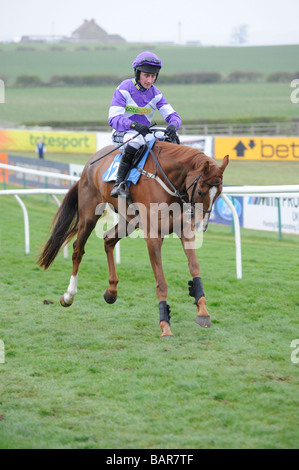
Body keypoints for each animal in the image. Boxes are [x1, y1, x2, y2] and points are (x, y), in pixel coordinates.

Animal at [38, 140, 230, 338]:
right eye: (200, 191)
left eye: (218, 193)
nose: (202, 225)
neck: (167, 182)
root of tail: (88, 166)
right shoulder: (153, 237)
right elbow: (161, 282)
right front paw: (165, 325)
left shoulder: (183, 229)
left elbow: (194, 267)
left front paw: (203, 312)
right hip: (89, 215)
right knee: (78, 249)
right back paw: (69, 295)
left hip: (130, 221)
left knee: (108, 240)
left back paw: (111, 291)